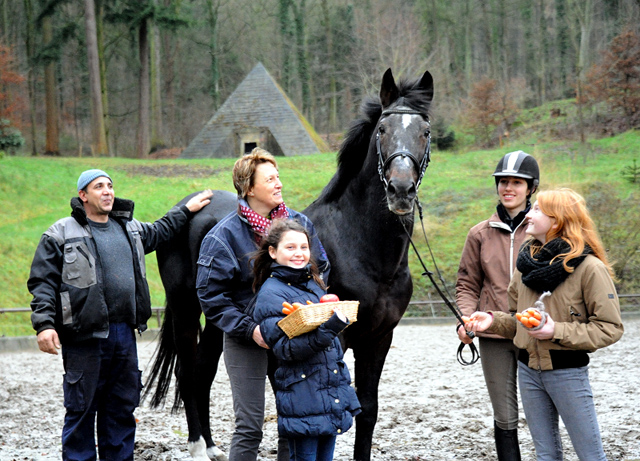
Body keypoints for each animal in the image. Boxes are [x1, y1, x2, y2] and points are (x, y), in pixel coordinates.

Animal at [144, 68, 436, 460]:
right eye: (382, 130)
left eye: (425, 131)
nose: (401, 190)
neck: (363, 250)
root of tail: (187, 207)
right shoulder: (336, 336)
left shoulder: (379, 337)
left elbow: (368, 410)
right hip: (184, 307)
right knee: (188, 372)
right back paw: (196, 447)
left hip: (220, 321)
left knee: (203, 370)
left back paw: (212, 445)